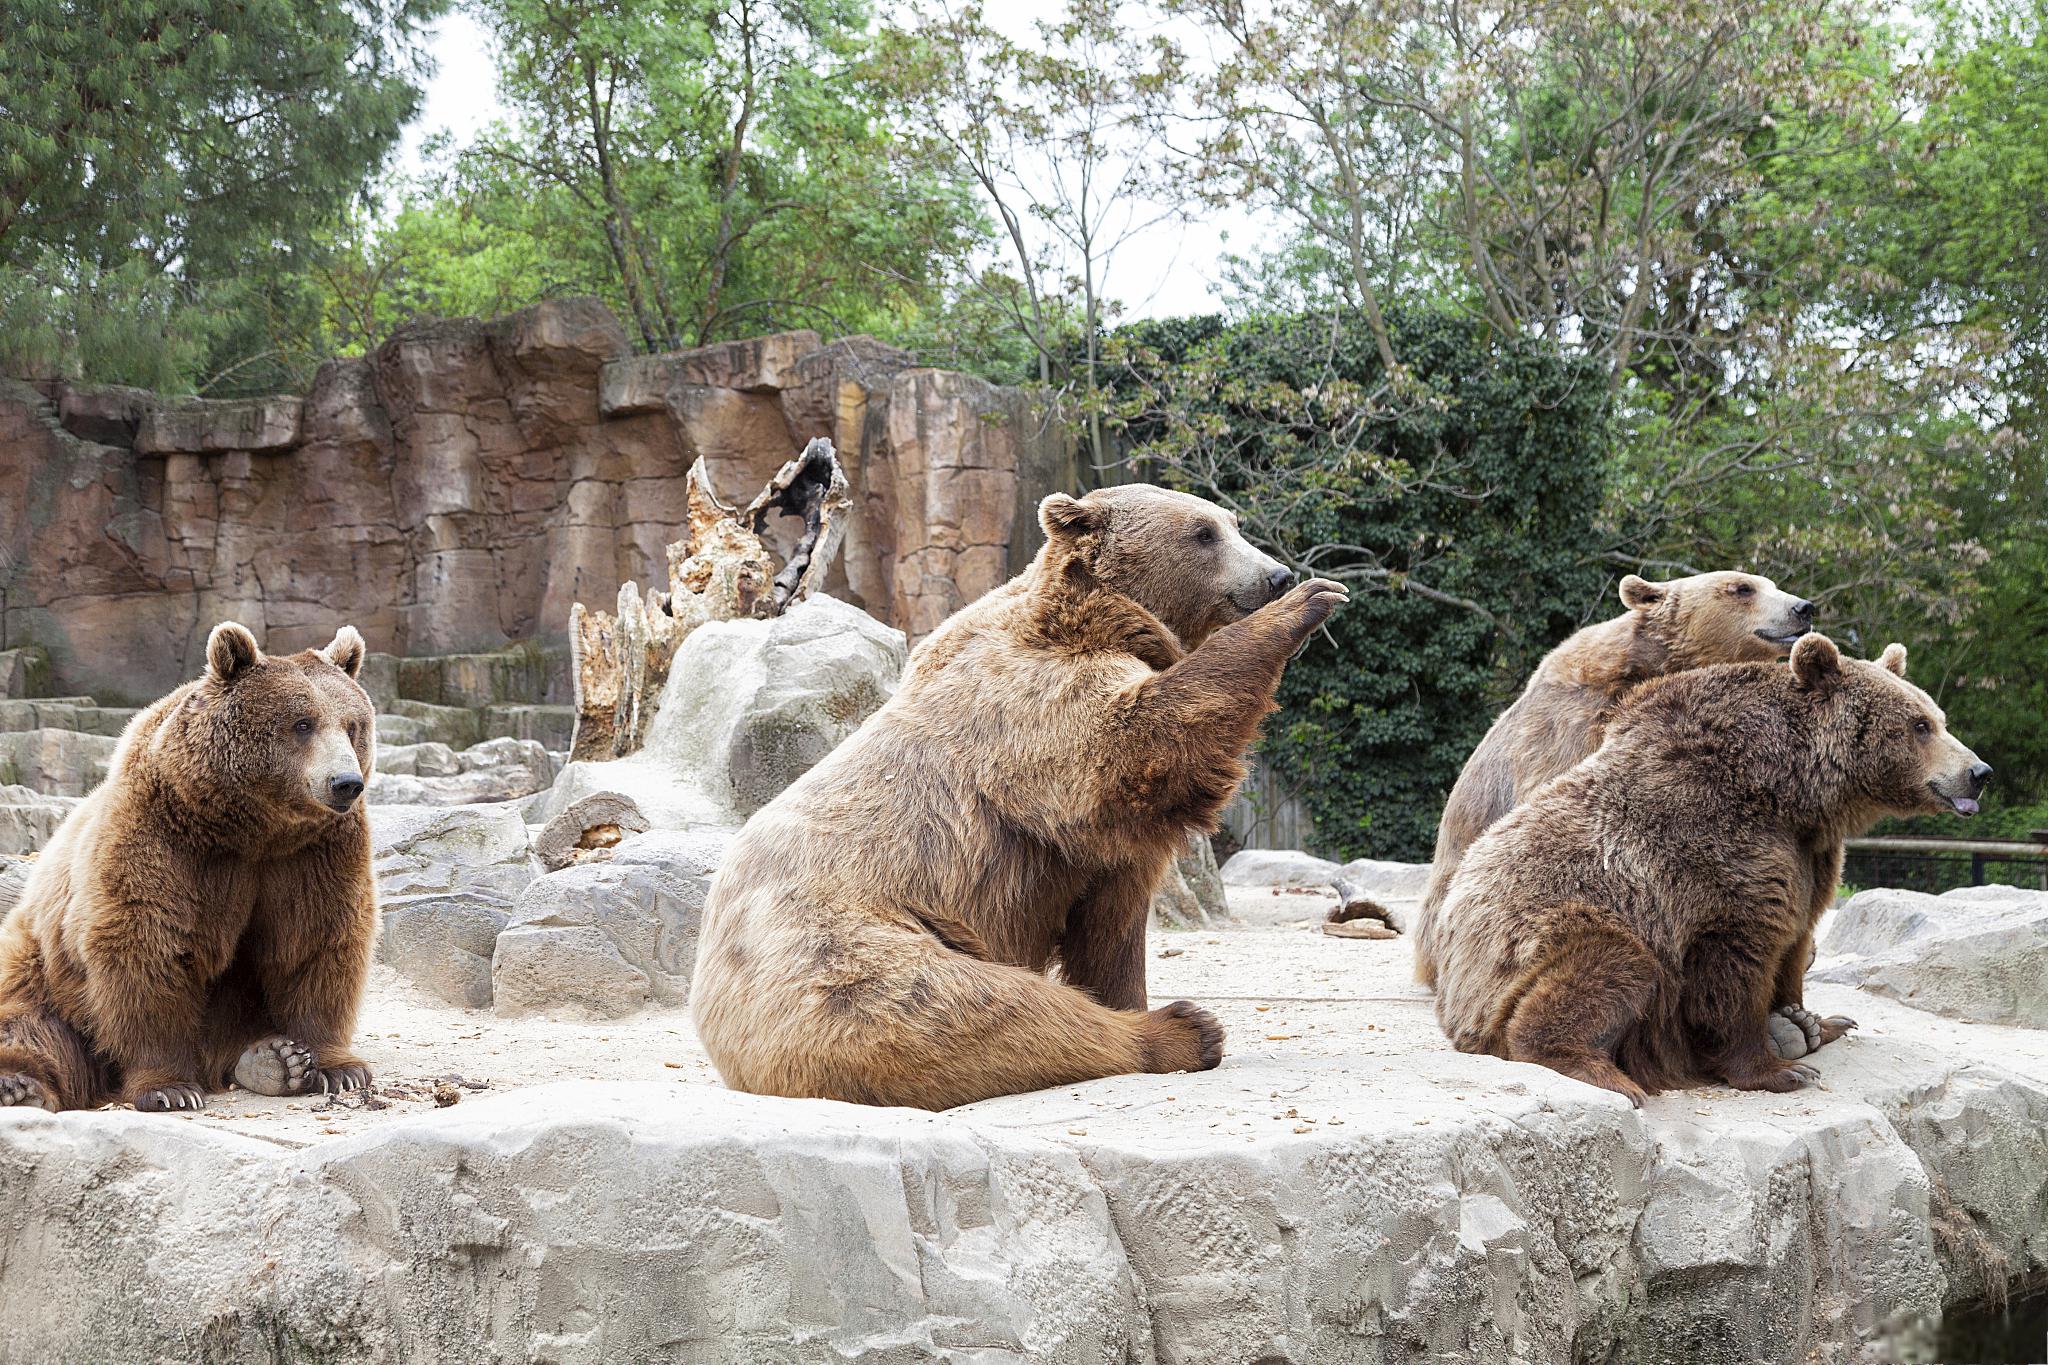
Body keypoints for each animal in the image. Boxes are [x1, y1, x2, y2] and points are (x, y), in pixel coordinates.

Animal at [0, 626, 382, 1113]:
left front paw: (340, 1068)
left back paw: (271, 1060)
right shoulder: (163, 836)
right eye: (302, 723)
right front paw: (170, 1088)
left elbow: (316, 937)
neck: (253, 828)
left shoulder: (314, 852)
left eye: (353, 725)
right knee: (32, 1026)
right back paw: (20, 1085)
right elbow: (146, 944)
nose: (346, 783)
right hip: (39, 967)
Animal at [696, 480, 1351, 1113]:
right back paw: (1181, 1030)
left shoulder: (1099, 852)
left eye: (1230, 524)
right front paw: (1312, 600)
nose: (1276, 575)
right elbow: (1138, 742)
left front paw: (1129, 991)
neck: (1097, 619)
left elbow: (1112, 927)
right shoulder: (1032, 714)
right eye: (1202, 533)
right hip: (847, 952)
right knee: (979, 1009)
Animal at [1425, 642, 1982, 1113]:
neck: (1792, 792)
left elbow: (1796, 935)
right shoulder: (1709, 853)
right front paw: (1779, 1069)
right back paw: (1608, 1074)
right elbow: (1733, 965)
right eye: (1919, 725)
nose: (1979, 772)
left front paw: (1815, 1021)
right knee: (1615, 964)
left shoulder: (1807, 858)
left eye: (1939, 719)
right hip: (1526, 947)